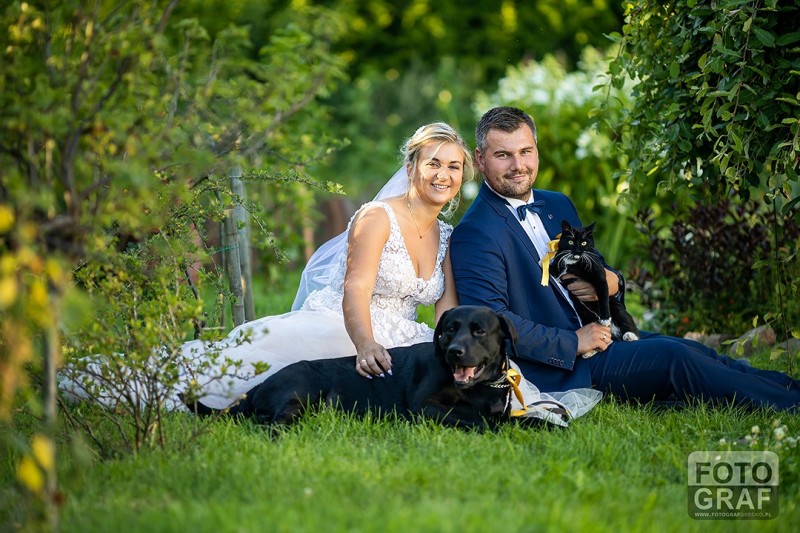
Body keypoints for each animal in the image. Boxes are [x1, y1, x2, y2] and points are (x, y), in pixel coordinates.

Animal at [186, 305, 532, 429]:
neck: (481, 387)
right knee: (271, 423)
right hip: (302, 390)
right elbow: (480, 419)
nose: (454, 352)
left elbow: (522, 418)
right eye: (449, 329)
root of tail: (258, 385)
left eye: (479, 331)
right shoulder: (425, 407)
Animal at [549, 220, 639, 358]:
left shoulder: (600, 277)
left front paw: (605, 319)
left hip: (617, 308)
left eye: (584, 243)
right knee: (607, 342)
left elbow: (602, 295)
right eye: (570, 242)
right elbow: (553, 269)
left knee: (627, 324)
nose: (577, 251)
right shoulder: (558, 266)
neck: (573, 263)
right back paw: (589, 352)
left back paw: (630, 335)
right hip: (585, 314)